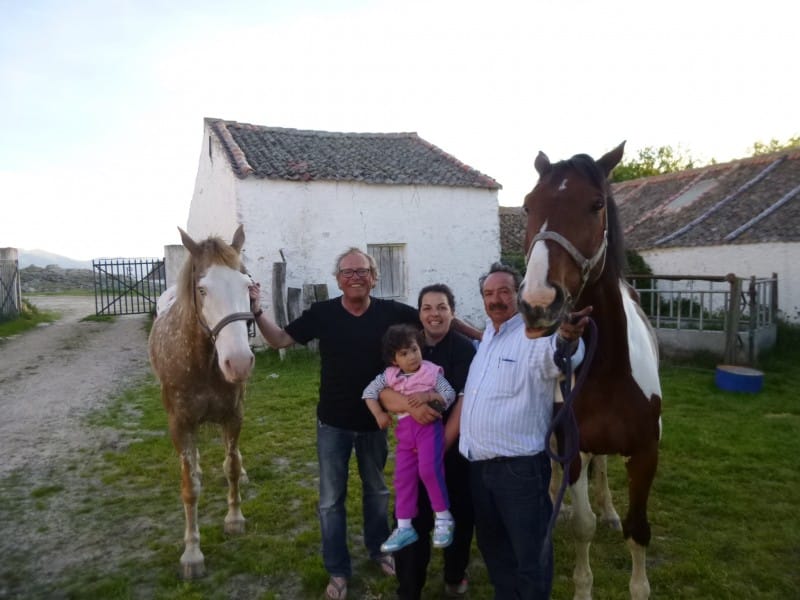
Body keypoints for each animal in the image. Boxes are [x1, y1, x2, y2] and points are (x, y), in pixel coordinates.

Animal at [147, 224, 253, 576]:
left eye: (247, 284)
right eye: (203, 289)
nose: (239, 362)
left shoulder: (233, 414)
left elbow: (231, 466)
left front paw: (234, 519)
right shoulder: (180, 424)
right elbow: (189, 487)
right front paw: (192, 553)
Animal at [520, 144, 664, 600]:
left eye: (596, 204)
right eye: (528, 204)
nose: (538, 303)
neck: (608, 371)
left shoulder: (646, 453)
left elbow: (638, 532)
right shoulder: (572, 446)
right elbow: (583, 528)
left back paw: (609, 510)